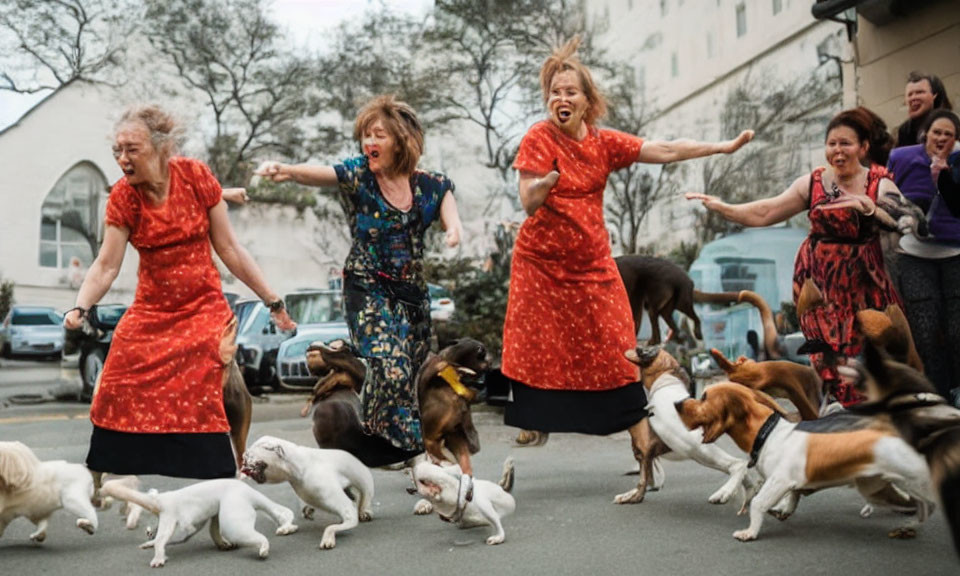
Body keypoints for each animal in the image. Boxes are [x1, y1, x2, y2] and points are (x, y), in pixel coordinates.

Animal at [100, 476, 296, 568]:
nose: (148, 531)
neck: (159, 501)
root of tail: (248, 491)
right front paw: (150, 542)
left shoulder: (172, 517)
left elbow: (165, 539)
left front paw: (157, 555)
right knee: (216, 529)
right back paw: (225, 544)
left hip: (234, 510)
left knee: (241, 532)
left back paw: (263, 547)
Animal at [240, 436, 376, 548]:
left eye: (250, 455)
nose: (243, 459)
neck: (298, 468)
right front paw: (287, 527)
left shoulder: (347, 511)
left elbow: (332, 527)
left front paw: (328, 536)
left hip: (363, 480)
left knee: (365, 497)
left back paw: (365, 511)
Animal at [616, 346, 756, 504]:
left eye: (649, 349)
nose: (638, 348)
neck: (666, 376)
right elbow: (648, 475)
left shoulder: (646, 448)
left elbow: (643, 479)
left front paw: (636, 495)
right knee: (744, 474)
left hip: (702, 452)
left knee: (738, 465)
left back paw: (724, 493)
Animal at [680, 382, 932, 540]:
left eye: (703, 397)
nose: (677, 404)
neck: (766, 433)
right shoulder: (788, 482)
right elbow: (792, 497)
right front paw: (783, 509)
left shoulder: (779, 481)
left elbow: (758, 503)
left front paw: (750, 532)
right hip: (877, 488)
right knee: (915, 507)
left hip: (907, 482)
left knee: (925, 506)